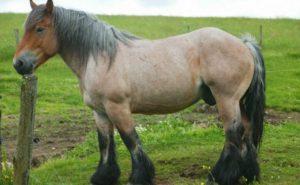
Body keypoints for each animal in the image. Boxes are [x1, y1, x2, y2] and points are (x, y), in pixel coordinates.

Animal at [12, 0, 266, 185]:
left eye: (40, 29)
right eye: (25, 29)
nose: (19, 64)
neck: (101, 58)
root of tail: (244, 44)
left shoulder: (118, 107)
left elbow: (130, 140)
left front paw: (140, 176)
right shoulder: (100, 112)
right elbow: (105, 142)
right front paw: (103, 176)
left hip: (227, 99)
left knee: (233, 134)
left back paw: (220, 176)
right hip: (239, 102)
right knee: (246, 132)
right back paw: (249, 173)